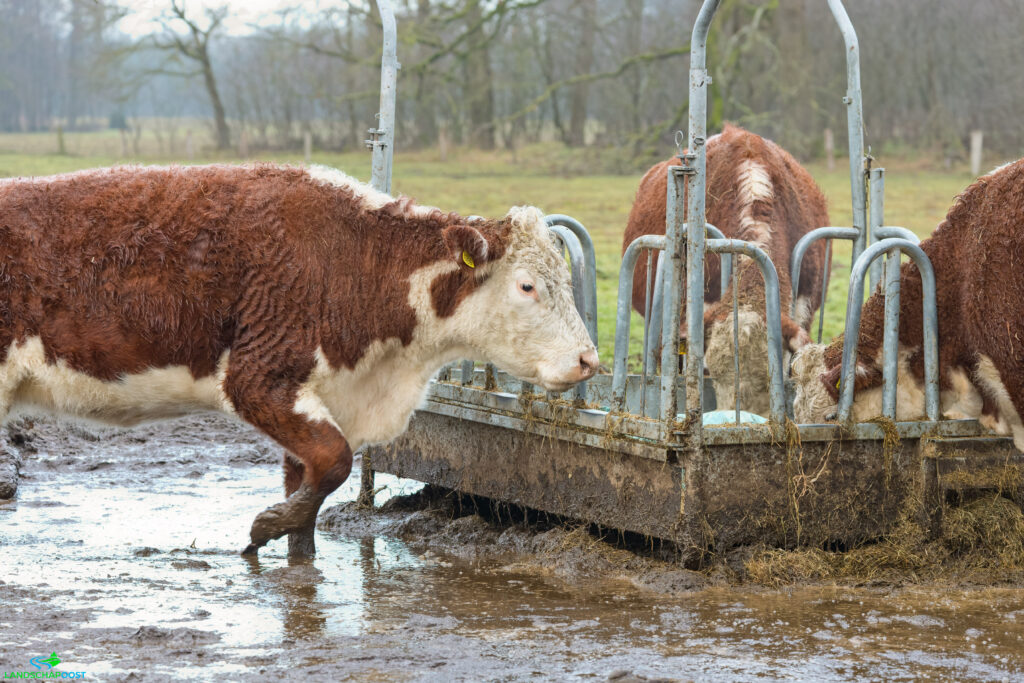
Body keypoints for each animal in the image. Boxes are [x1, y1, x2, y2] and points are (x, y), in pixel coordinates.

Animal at [0, 163, 598, 556]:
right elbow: (334, 462)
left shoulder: (315, 393)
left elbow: (307, 483)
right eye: (527, 286)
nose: (589, 359)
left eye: (567, 281)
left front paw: (298, 555)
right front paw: (265, 527)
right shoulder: (258, 377)